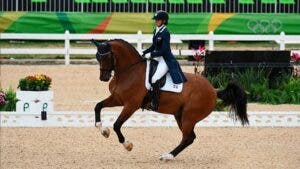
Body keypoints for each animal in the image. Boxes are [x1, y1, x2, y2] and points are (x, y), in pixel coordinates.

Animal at [91, 38, 248, 161]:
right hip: (180, 115)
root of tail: (214, 91)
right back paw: (169, 155)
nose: (103, 77)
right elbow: (98, 106)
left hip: (189, 117)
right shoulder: (117, 99)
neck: (129, 71)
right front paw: (103, 130)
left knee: (188, 137)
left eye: (106, 57)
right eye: (97, 57)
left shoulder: (131, 105)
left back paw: (167, 156)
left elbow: (117, 125)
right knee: (189, 138)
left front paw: (127, 145)